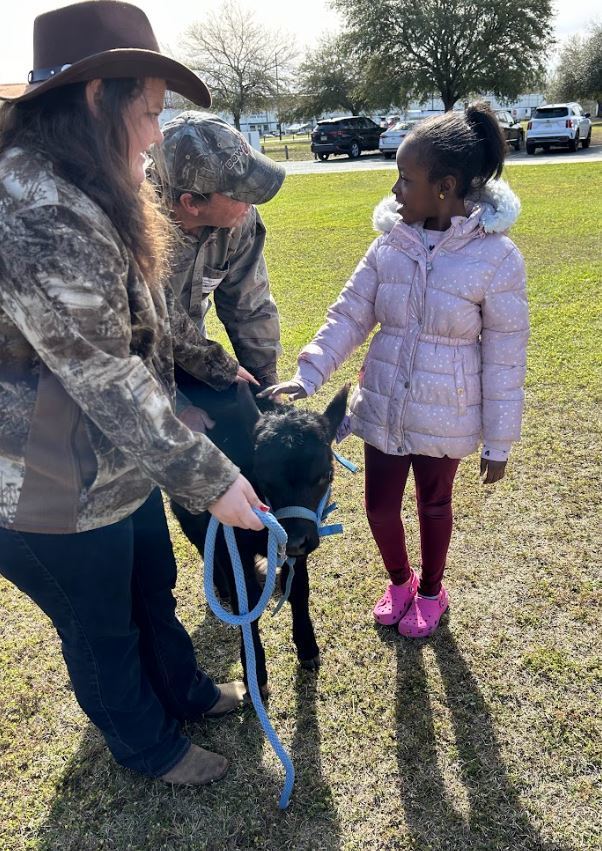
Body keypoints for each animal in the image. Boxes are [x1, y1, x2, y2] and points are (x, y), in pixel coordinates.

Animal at [169, 370, 346, 696]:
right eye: (263, 478)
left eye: (325, 475)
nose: (296, 540)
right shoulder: (232, 541)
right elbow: (246, 601)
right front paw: (256, 674)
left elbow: (299, 587)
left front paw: (308, 648)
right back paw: (221, 587)